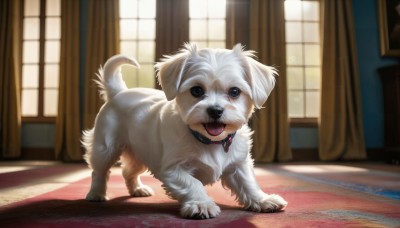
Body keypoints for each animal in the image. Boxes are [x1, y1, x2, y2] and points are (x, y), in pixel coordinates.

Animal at [82, 43, 288, 219]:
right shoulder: (173, 169)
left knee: (128, 171)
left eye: (235, 92)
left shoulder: (238, 164)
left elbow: (249, 183)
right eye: (196, 91)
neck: (209, 141)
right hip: (106, 148)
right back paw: (96, 193)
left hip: (140, 153)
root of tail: (119, 92)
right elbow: (193, 184)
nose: (215, 110)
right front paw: (201, 204)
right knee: (99, 172)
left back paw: (137, 189)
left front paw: (262, 200)